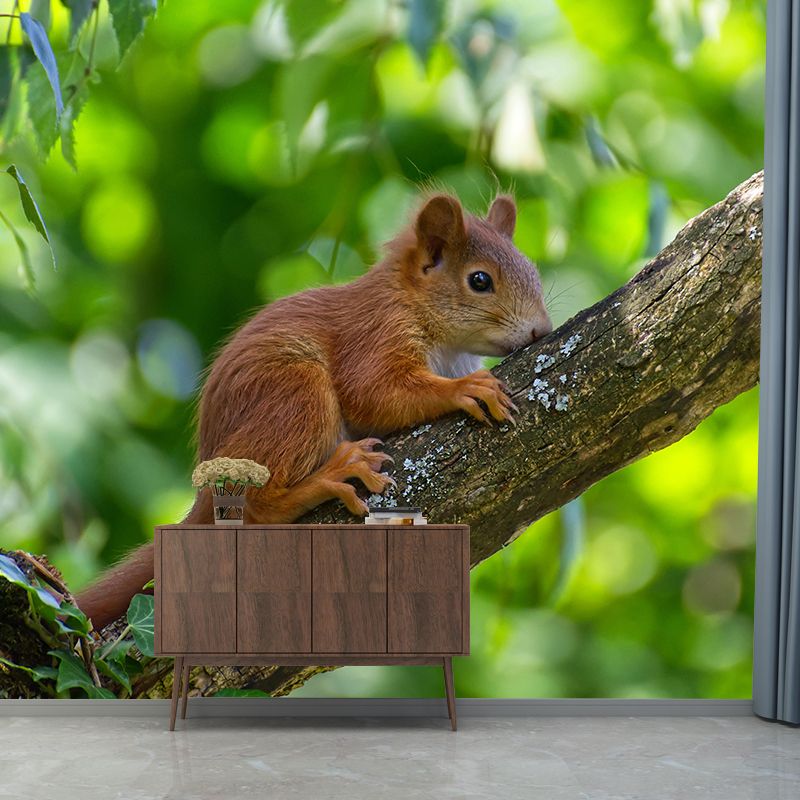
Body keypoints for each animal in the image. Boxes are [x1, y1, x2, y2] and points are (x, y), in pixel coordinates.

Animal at [76, 193, 553, 629]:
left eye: (533, 271)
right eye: (479, 280)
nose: (541, 330)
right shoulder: (376, 333)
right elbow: (374, 392)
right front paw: (465, 388)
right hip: (297, 395)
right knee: (258, 507)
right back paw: (332, 476)